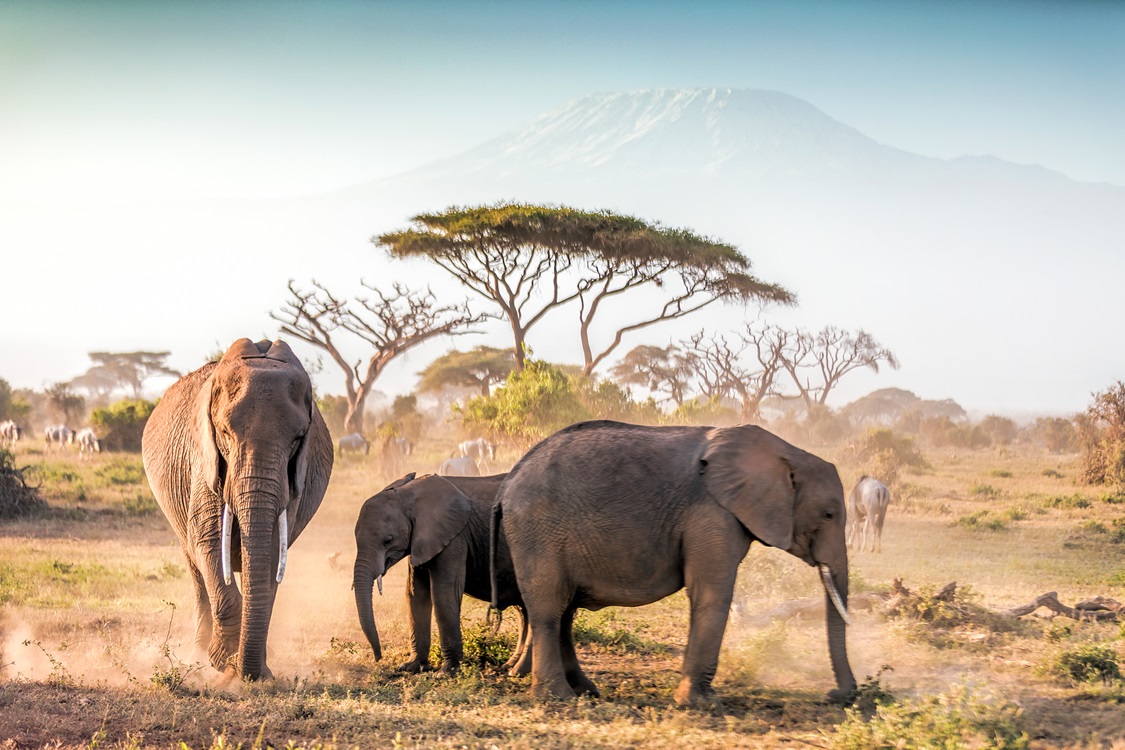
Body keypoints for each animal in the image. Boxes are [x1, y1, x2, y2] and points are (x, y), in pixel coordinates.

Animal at [141, 338, 334, 681]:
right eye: (225, 434)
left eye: (298, 439)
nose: (249, 673)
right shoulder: (204, 461)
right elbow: (210, 541)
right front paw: (222, 661)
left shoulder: (292, 481)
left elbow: (270, 550)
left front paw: (247, 668)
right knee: (196, 571)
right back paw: (197, 656)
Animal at [353, 472, 528, 675]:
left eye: (388, 540)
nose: (378, 658)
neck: (409, 495)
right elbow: (415, 594)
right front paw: (411, 667)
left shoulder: (455, 537)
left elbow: (443, 593)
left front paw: (446, 672)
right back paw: (512, 668)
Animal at [495, 420, 855, 706]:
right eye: (828, 514)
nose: (837, 695)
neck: (786, 452)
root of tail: (510, 480)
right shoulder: (712, 513)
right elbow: (711, 594)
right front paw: (699, 704)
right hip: (539, 530)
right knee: (549, 610)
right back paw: (557, 698)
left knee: (564, 611)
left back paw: (585, 692)